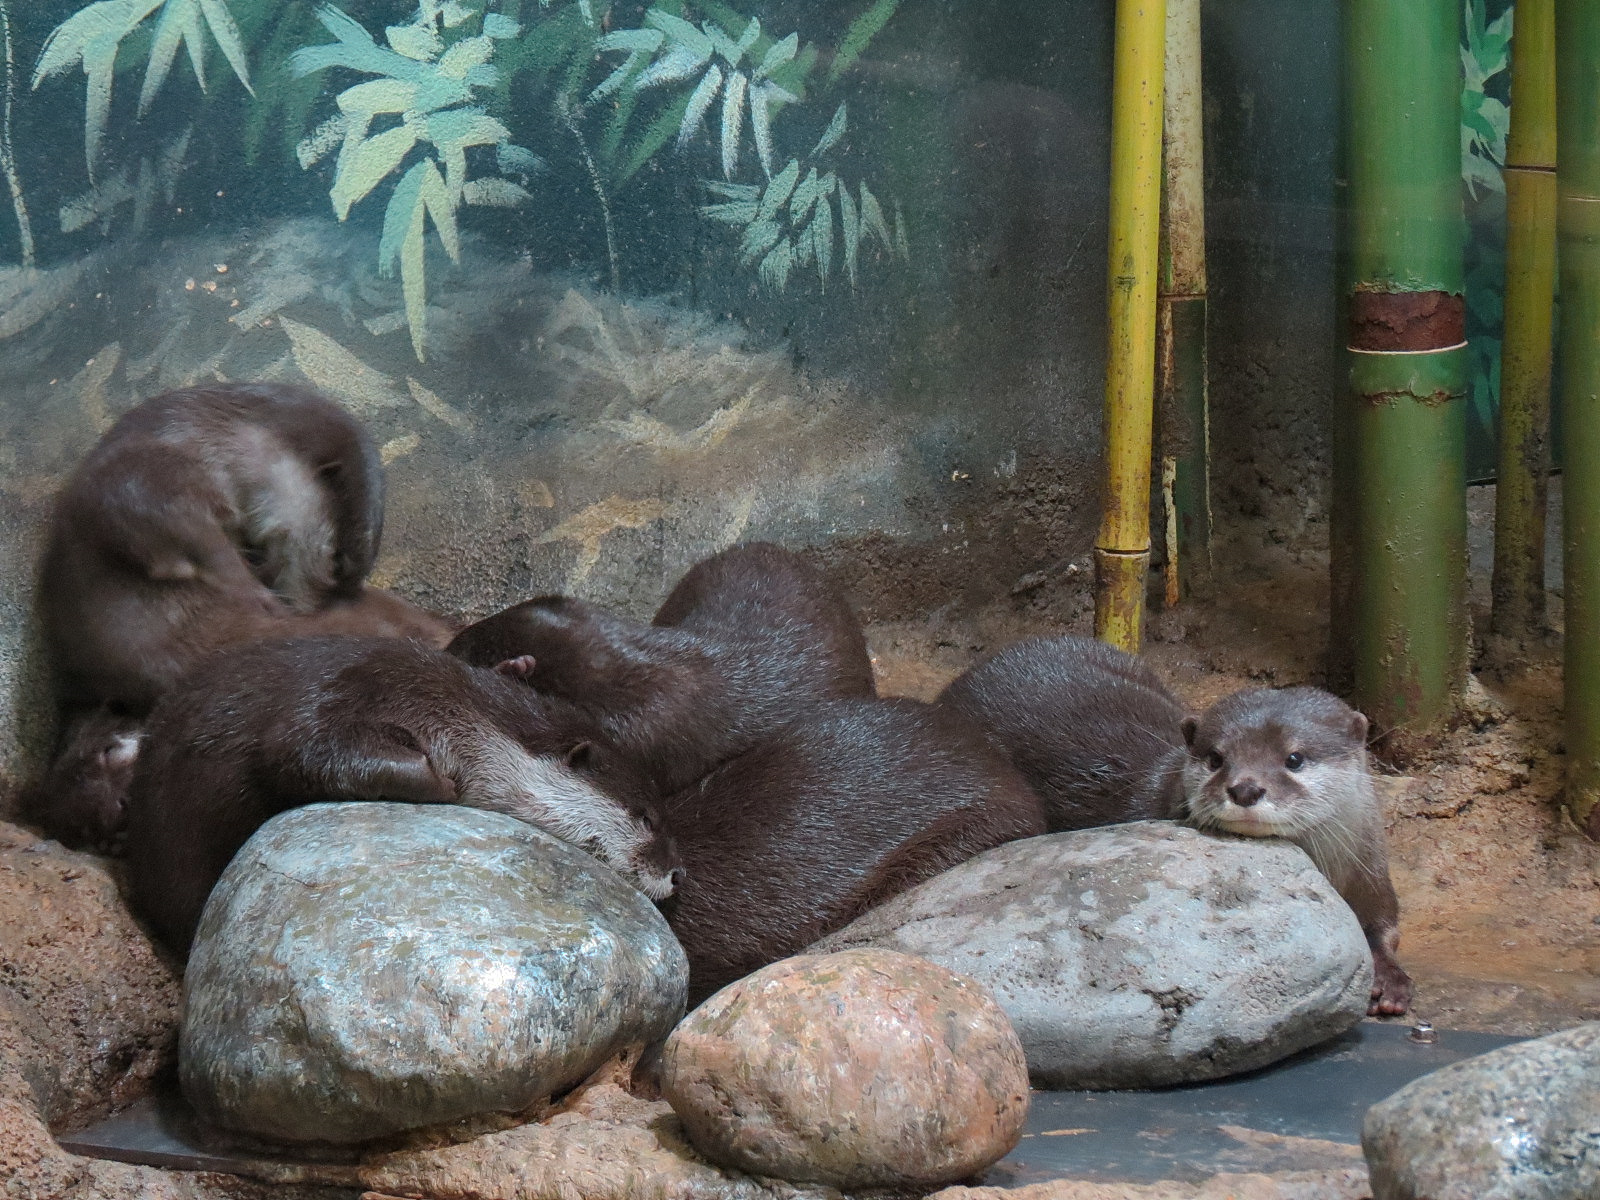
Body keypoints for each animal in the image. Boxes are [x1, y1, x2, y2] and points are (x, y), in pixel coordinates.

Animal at [123, 635, 678, 954]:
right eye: (648, 818)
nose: (679, 872)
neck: (460, 711)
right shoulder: (352, 687)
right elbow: (296, 750)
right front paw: (445, 784)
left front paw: (516, 667)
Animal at [937, 635, 1412, 1016]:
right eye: (1216, 758)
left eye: (1294, 758)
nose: (1245, 789)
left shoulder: (1369, 869)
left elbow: (1384, 925)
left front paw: (1389, 981)